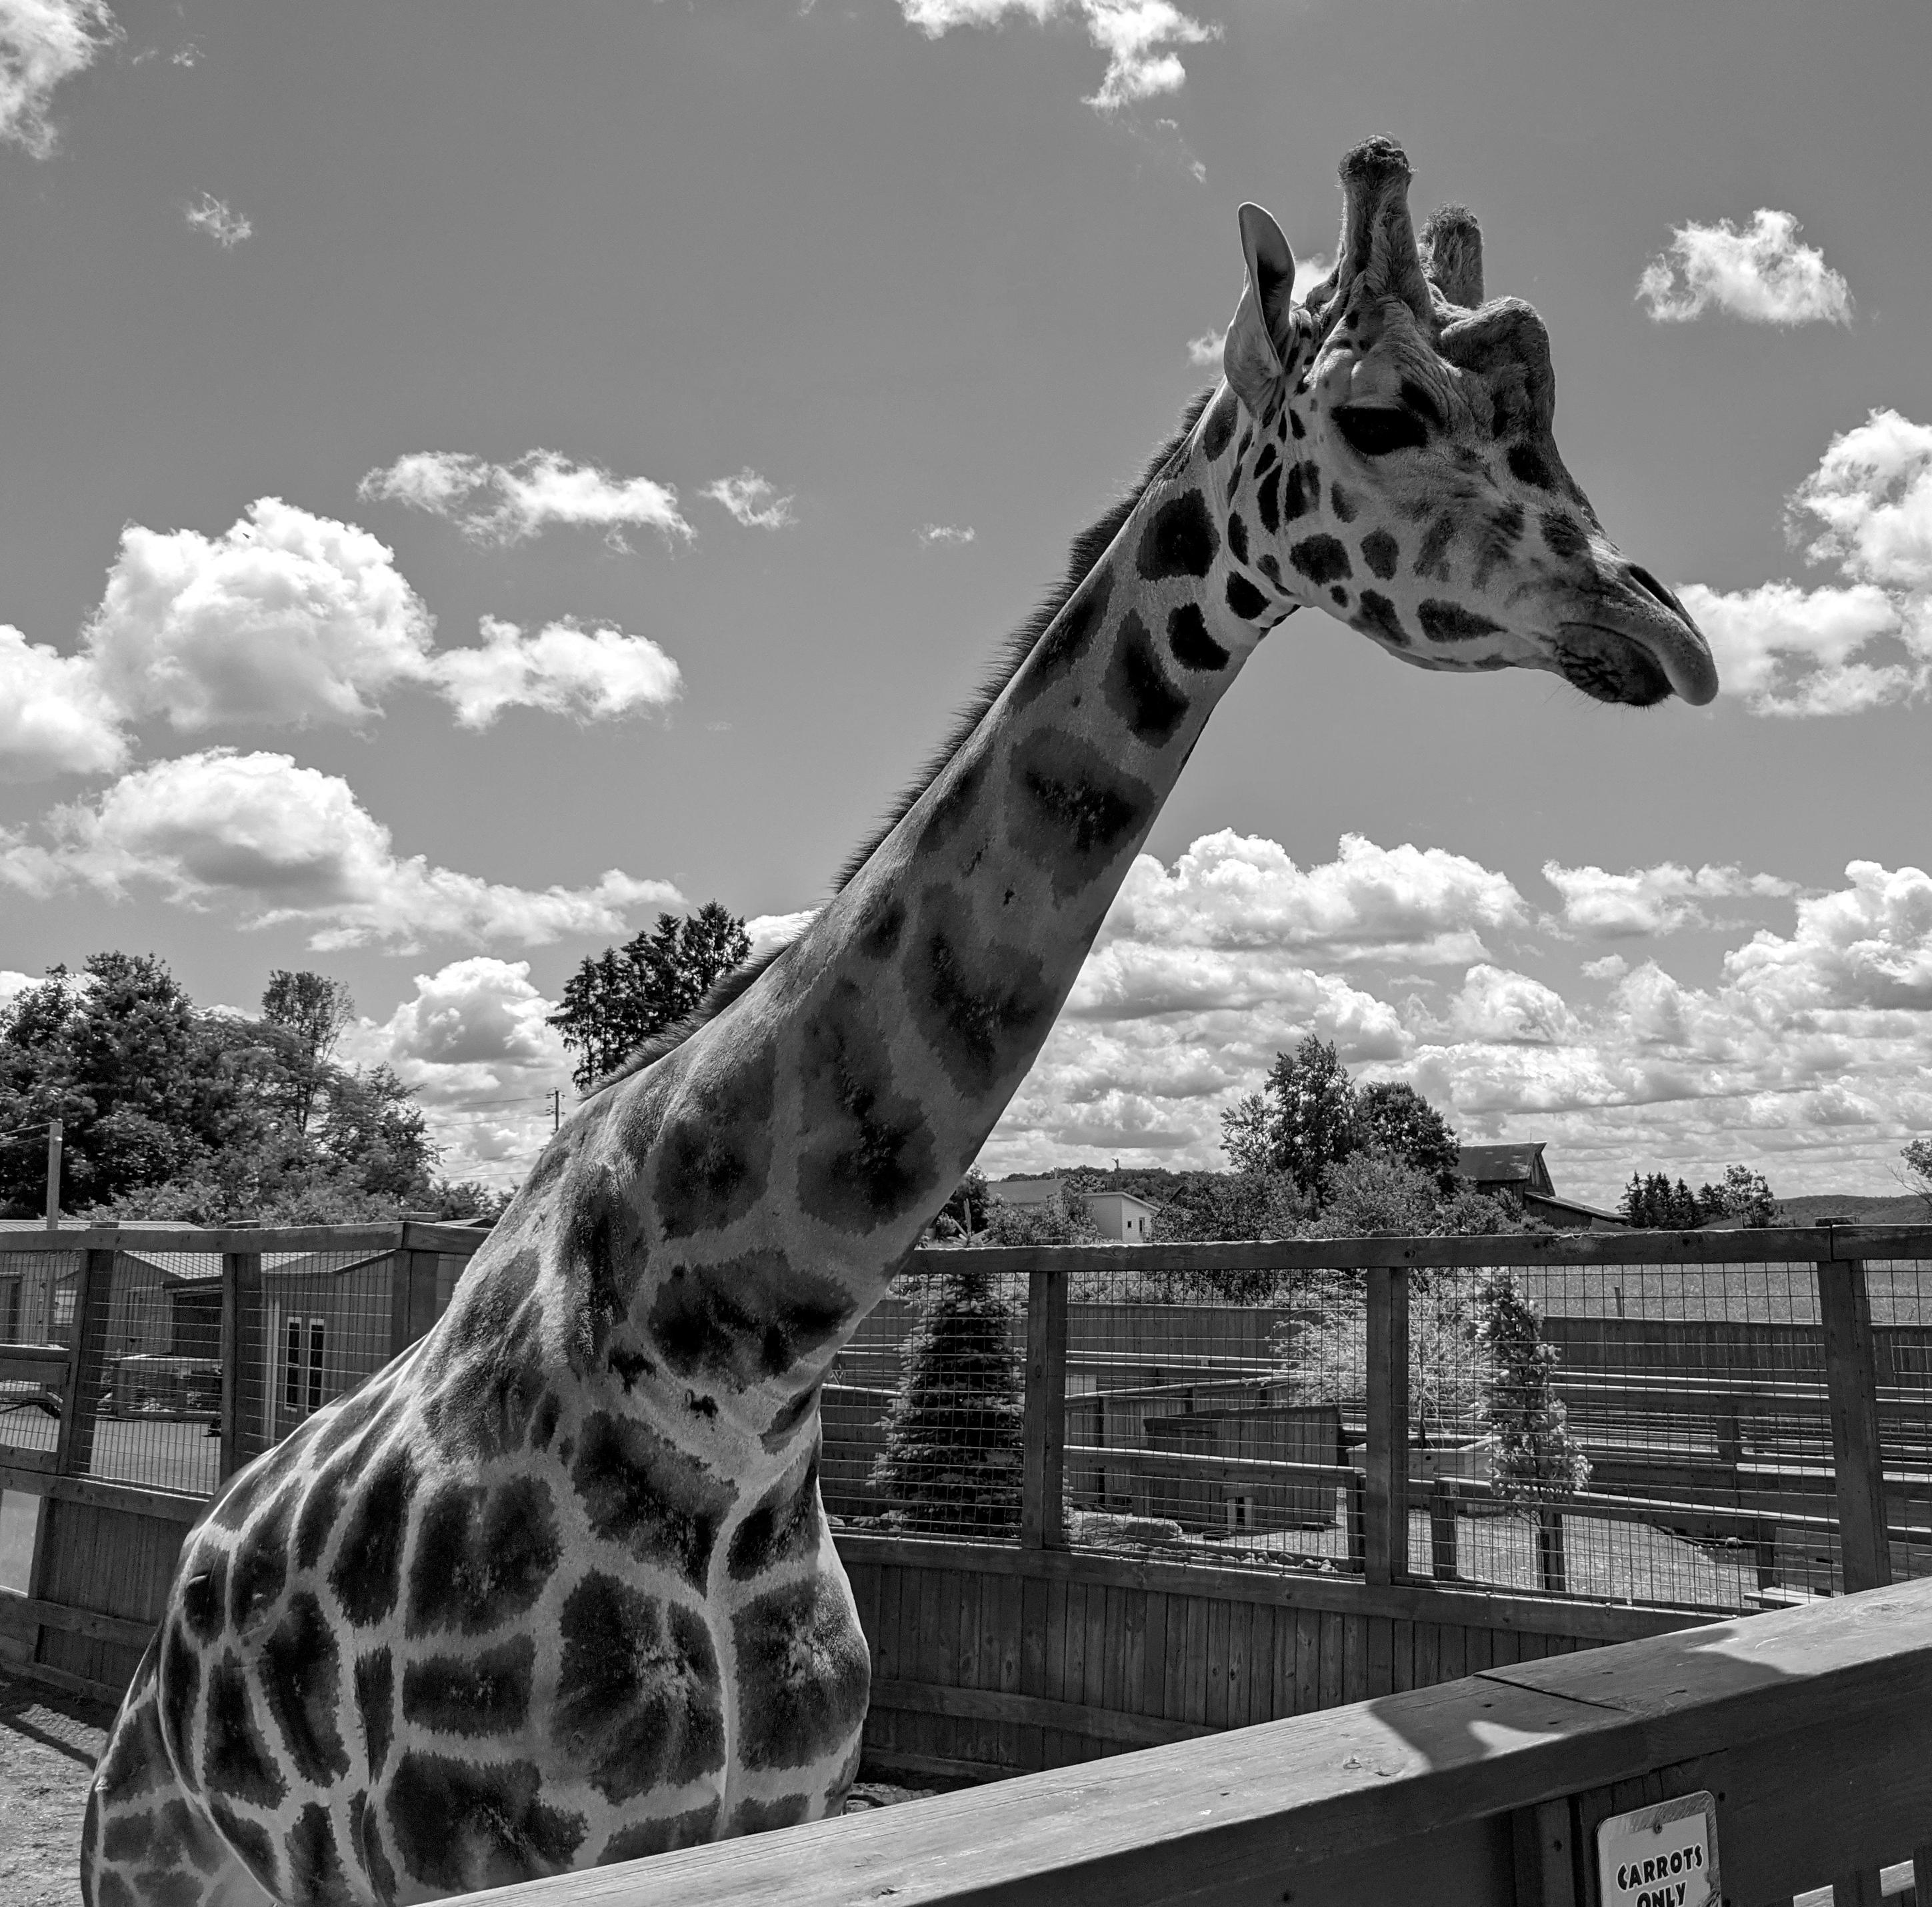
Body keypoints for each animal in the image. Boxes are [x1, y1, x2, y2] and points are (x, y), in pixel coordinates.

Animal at [82, 136, 1716, 1907]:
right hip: (171, 1864)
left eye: (1543, 400)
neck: (734, 1364)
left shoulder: (771, 1805)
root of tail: (165, 1637)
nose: (1674, 635)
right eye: (1384, 414)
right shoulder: (475, 1844)